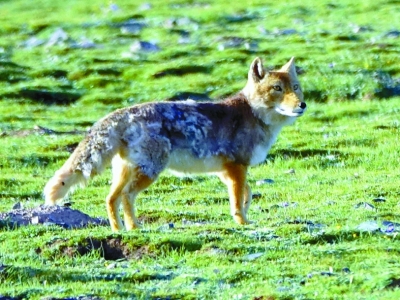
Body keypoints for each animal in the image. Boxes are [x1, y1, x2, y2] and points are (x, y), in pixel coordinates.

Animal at [44, 56, 306, 232]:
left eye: (295, 88)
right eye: (277, 89)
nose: (302, 105)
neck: (253, 114)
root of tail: (123, 112)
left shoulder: (226, 171)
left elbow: (247, 193)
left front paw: (246, 213)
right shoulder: (236, 167)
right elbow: (237, 200)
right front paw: (241, 222)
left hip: (126, 172)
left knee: (111, 198)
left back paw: (118, 230)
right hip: (149, 172)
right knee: (127, 196)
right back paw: (134, 227)